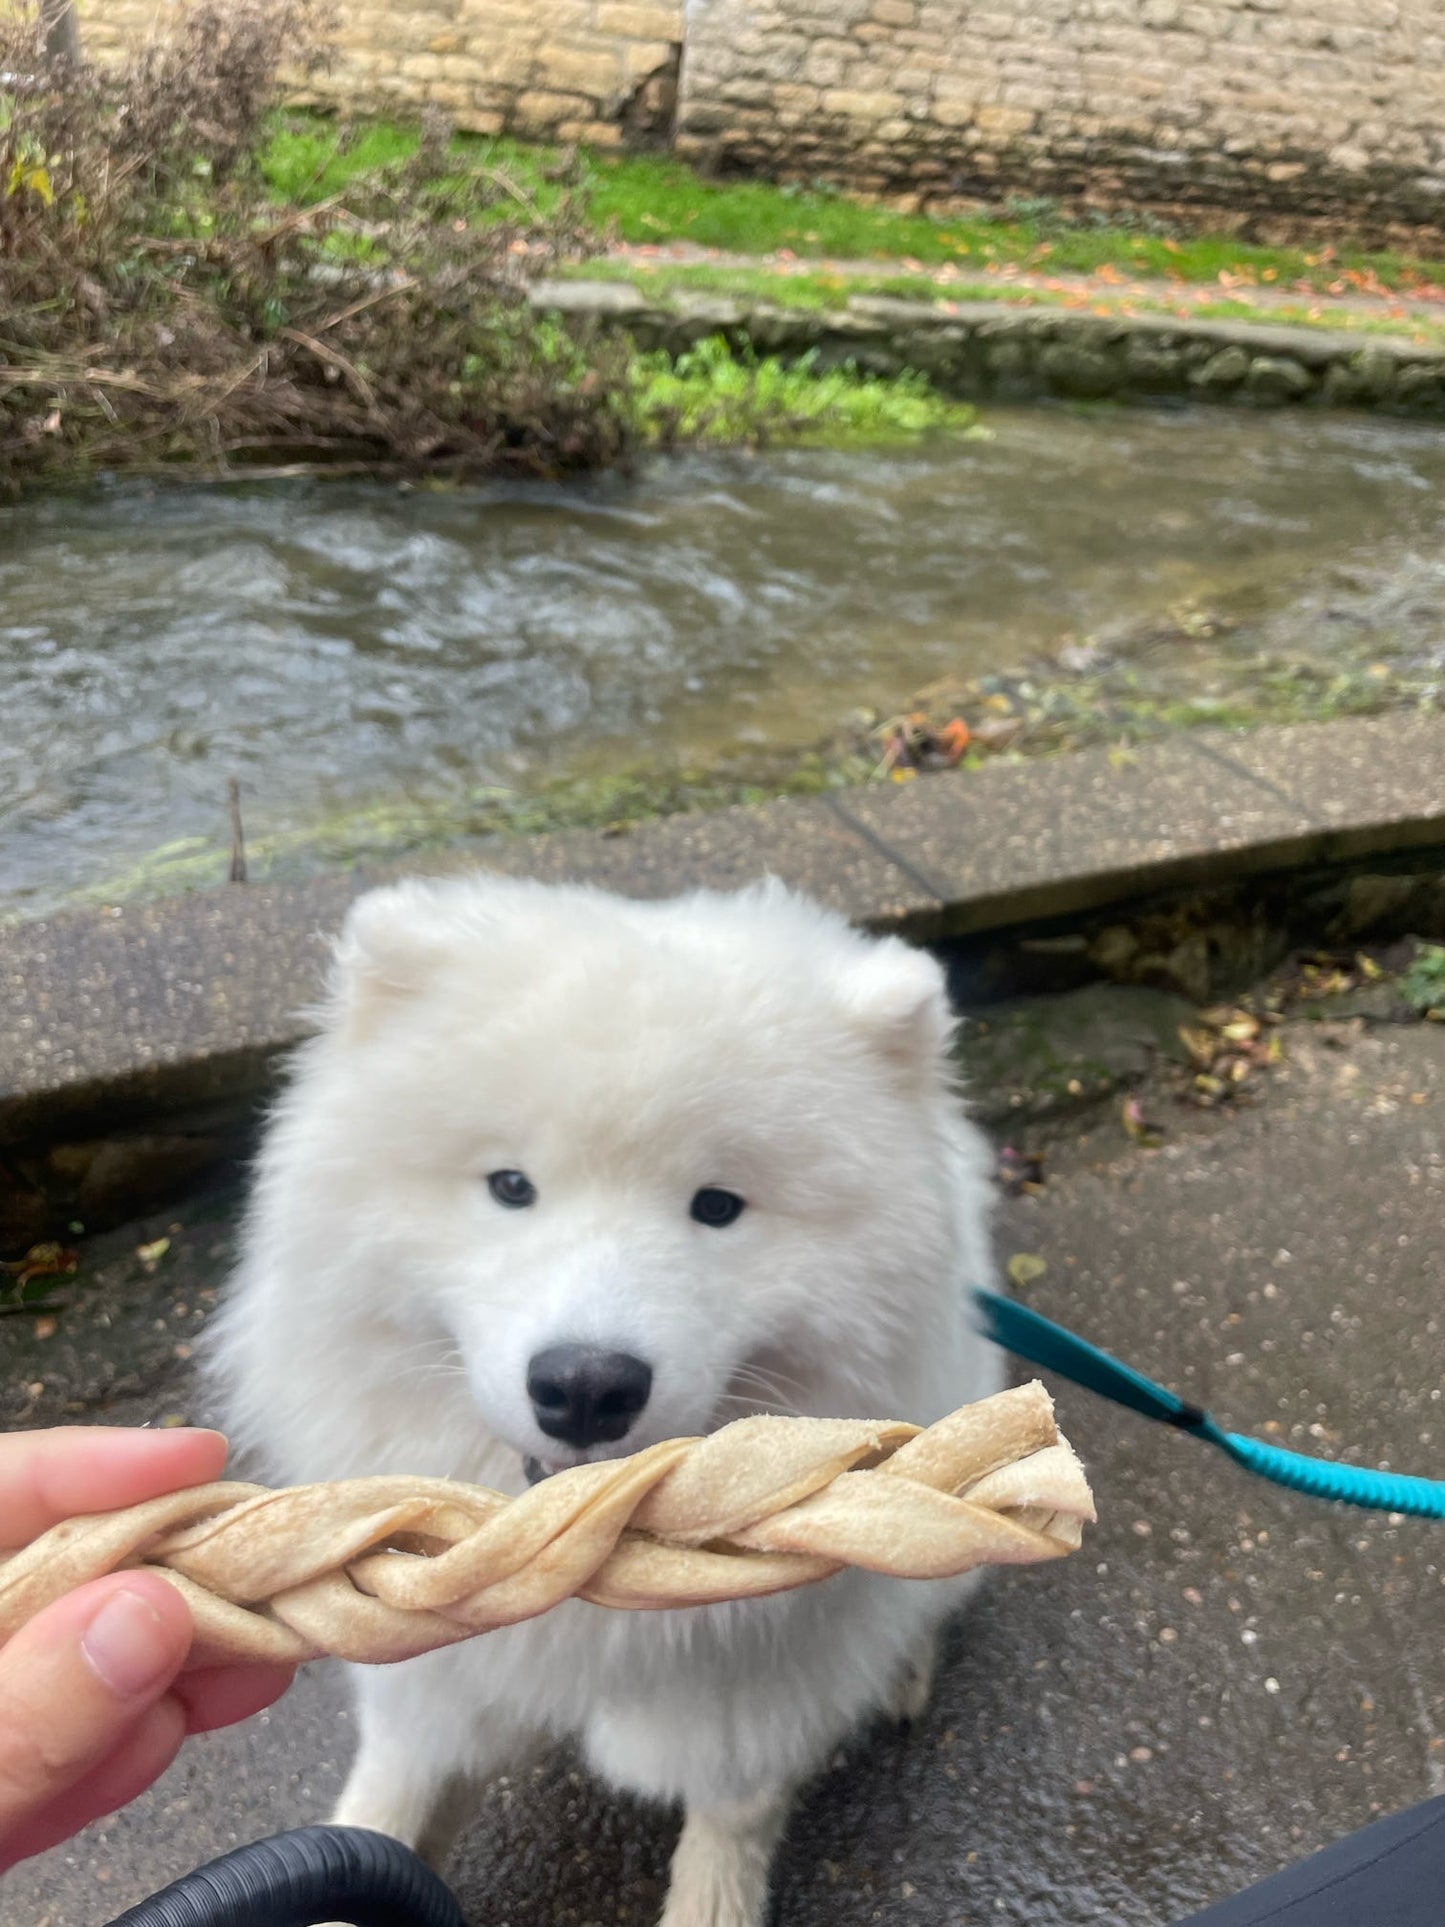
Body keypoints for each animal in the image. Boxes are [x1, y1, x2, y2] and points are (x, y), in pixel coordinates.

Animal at [214, 878, 1001, 1927]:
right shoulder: (434, 1681)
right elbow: (380, 1811)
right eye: (511, 1186)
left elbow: (729, 1828)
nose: (586, 1385)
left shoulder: (753, 1697)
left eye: (718, 1206)